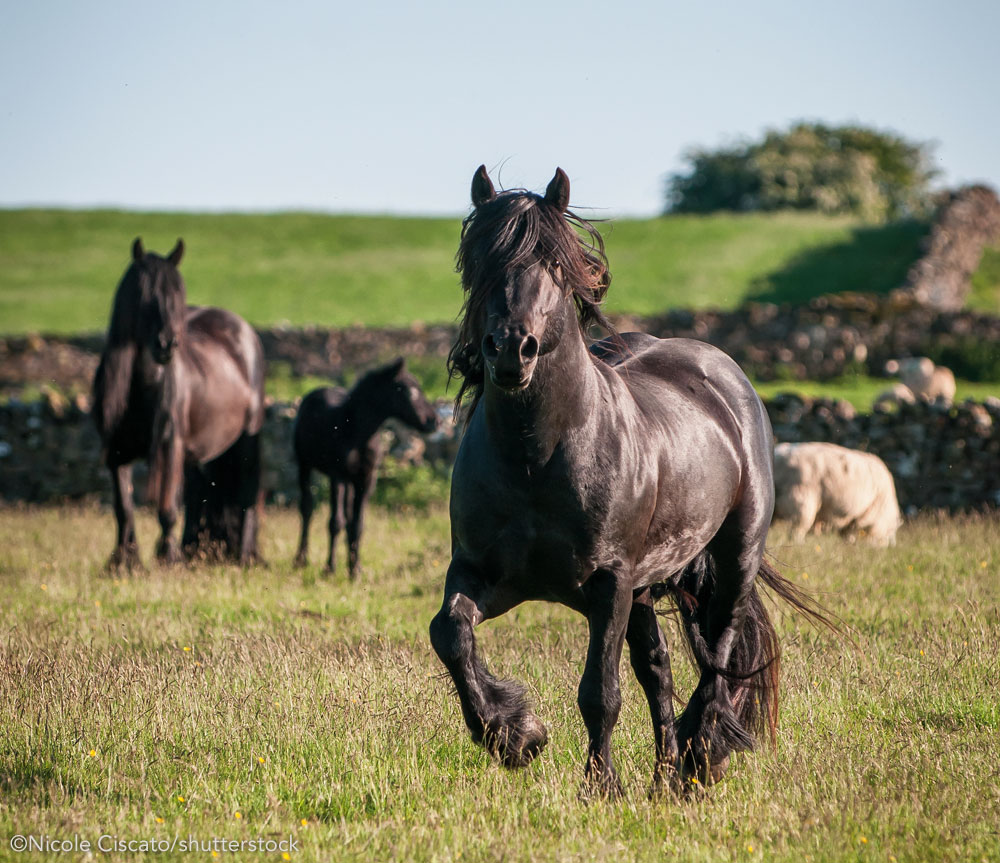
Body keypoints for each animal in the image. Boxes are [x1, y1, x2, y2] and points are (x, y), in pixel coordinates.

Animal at [92, 240, 266, 572]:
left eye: (177, 295)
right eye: (144, 294)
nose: (166, 344)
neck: (141, 387)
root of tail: (243, 330)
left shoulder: (170, 446)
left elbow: (168, 507)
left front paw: (167, 558)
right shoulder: (116, 452)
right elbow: (123, 508)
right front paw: (124, 561)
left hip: (245, 442)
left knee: (247, 497)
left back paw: (244, 557)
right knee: (201, 496)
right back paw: (196, 552)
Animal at [294, 362, 440, 576]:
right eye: (408, 390)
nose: (434, 421)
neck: (356, 431)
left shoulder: (366, 479)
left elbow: (357, 525)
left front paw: (355, 570)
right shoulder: (337, 476)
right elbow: (335, 522)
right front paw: (330, 568)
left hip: (350, 481)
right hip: (304, 464)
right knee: (306, 509)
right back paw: (301, 559)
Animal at [426, 167, 824, 796]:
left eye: (554, 263)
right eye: (480, 259)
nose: (511, 349)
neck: (536, 459)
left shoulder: (609, 583)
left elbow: (600, 693)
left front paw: (600, 785)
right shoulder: (483, 572)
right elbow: (450, 634)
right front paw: (515, 734)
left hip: (732, 559)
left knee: (718, 654)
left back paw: (700, 757)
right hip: (643, 591)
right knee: (659, 672)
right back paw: (664, 777)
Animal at [768, 446, 904, 548]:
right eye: (891, 532)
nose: (888, 547)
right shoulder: (866, 517)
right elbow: (853, 533)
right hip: (801, 501)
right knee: (797, 529)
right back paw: (799, 544)